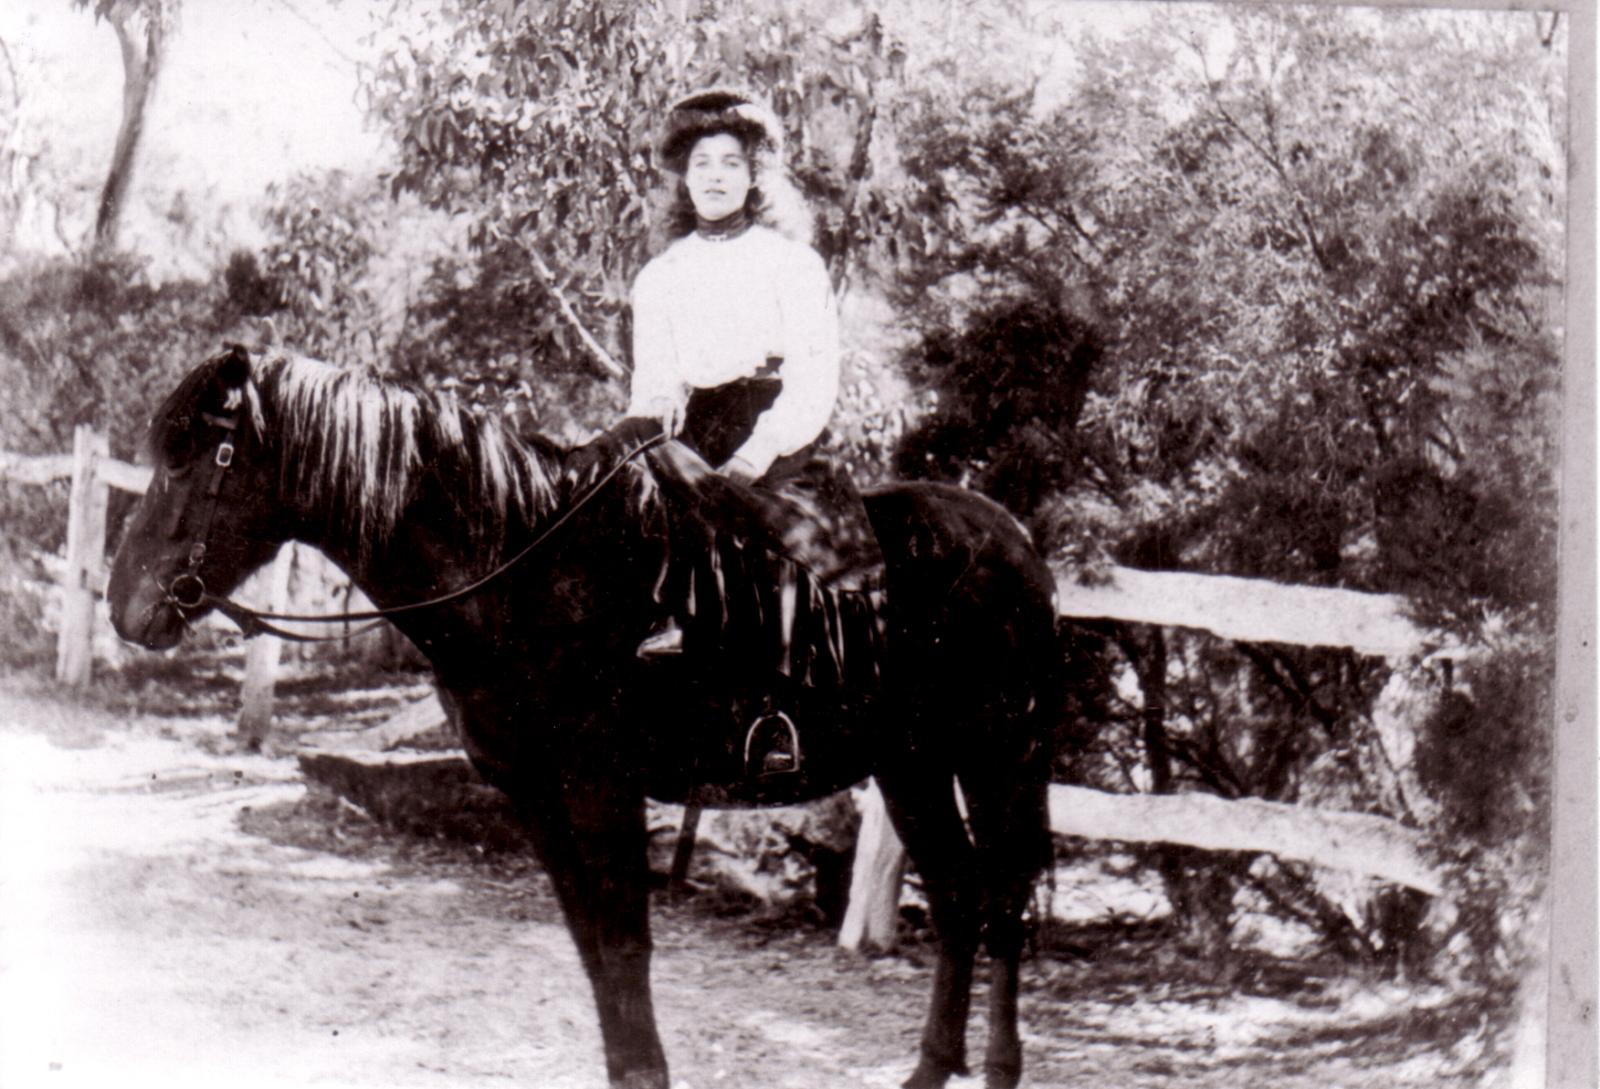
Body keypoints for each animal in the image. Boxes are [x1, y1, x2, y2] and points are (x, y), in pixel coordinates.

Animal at [109, 348, 1062, 1087]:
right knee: (957, 894)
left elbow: (625, 939)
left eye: (195, 457)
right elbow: (591, 946)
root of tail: (1009, 536)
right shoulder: (535, 795)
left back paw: (1001, 1065)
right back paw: (931, 1066)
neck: (524, 570)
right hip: (911, 763)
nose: (125, 608)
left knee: (1003, 899)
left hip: (999, 756)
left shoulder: (603, 785)